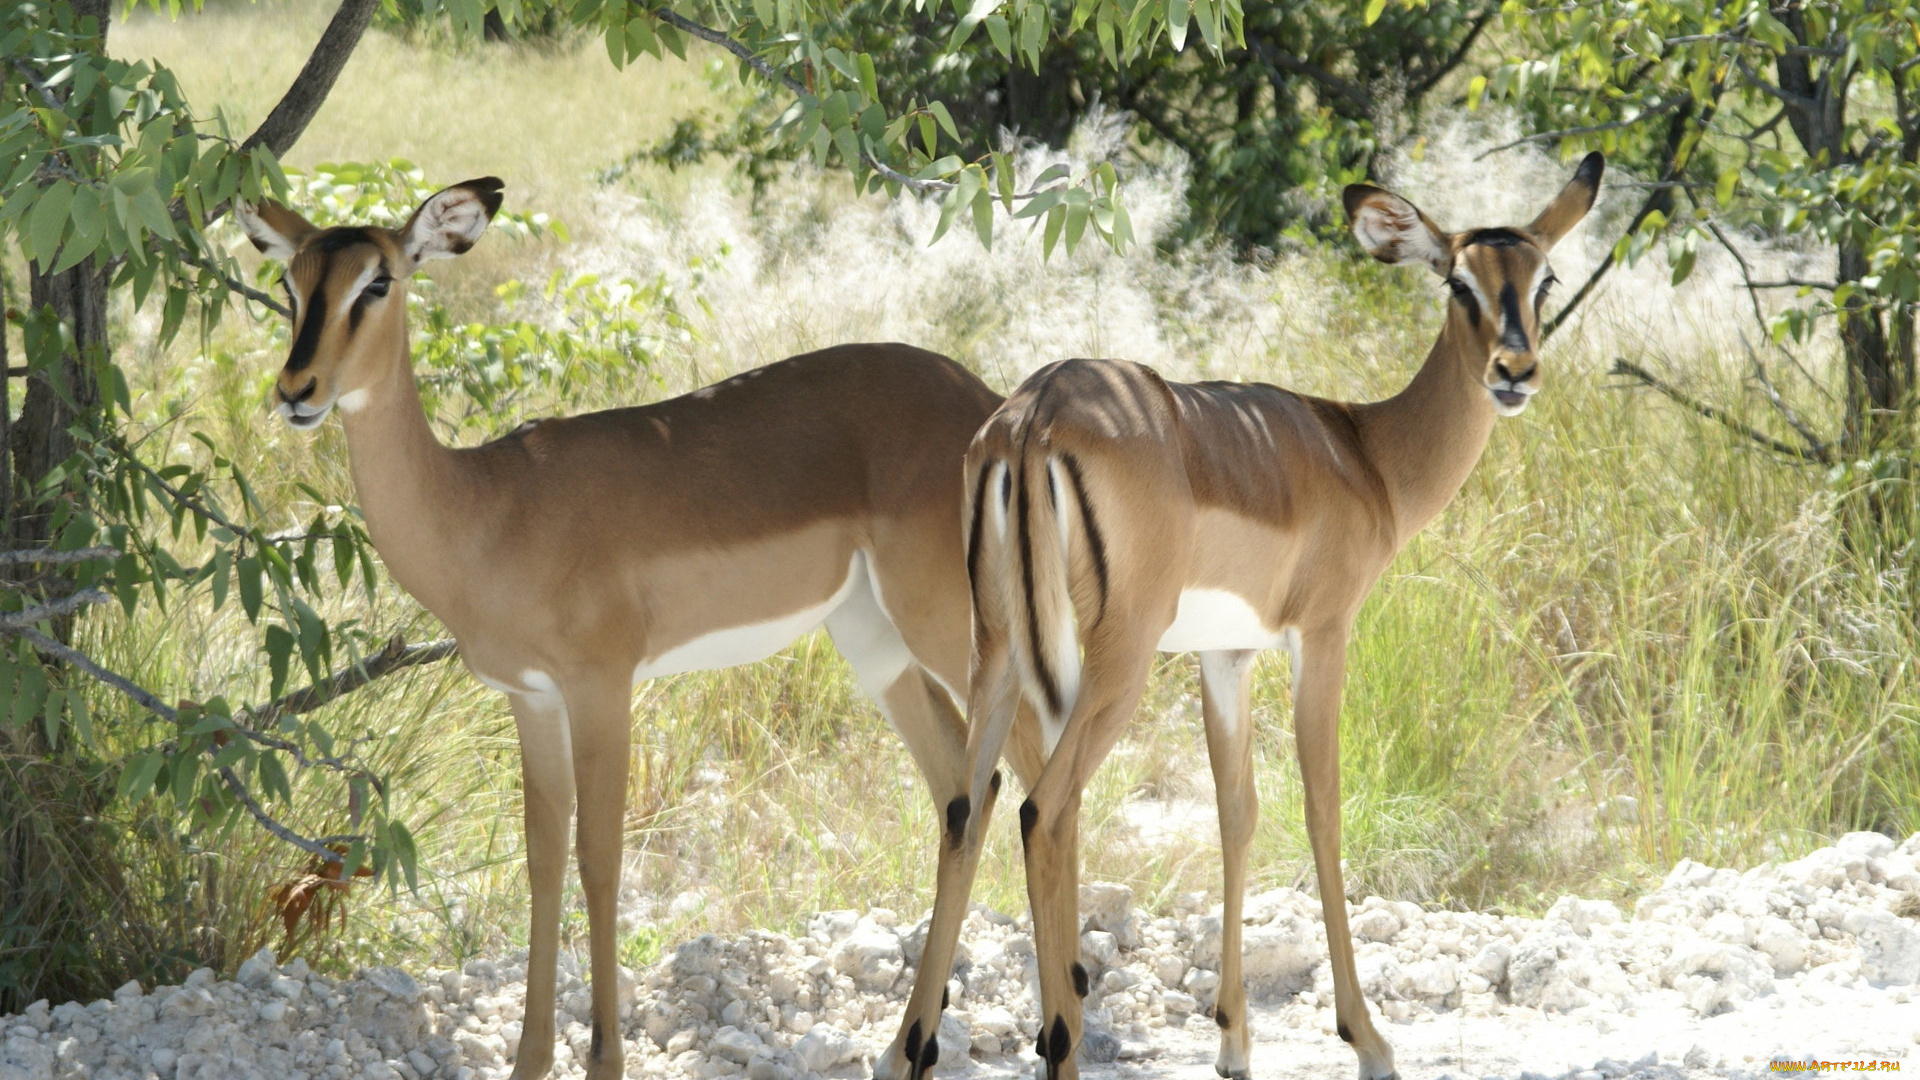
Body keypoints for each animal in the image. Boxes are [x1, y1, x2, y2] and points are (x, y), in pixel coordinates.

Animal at [243, 180, 1052, 1068]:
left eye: (378, 281)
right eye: (291, 283)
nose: (297, 389)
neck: (490, 509)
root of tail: (992, 409)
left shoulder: (602, 686)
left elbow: (601, 859)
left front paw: (604, 1057)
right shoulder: (532, 699)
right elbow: (544, 860)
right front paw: (529, 1061)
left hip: (959, 628)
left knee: (1042, 781)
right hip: (875, 644)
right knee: (965, 792)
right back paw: (904, 1049)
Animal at [883, 151, 1605, 1076]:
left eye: (1543, 280)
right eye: (1458, 282)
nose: (1514, 371)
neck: (1365, 456)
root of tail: (1029, 419)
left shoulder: (1225, 655)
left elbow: (1237, 813)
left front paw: (1232, 1039)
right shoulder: (1322, 635)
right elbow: (1322, 807)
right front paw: (1367, 1038)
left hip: (998, 652)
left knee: (965, 808)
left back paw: (911, 1047)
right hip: (1112, 665)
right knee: (1045, 811)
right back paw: (1059, 1041)